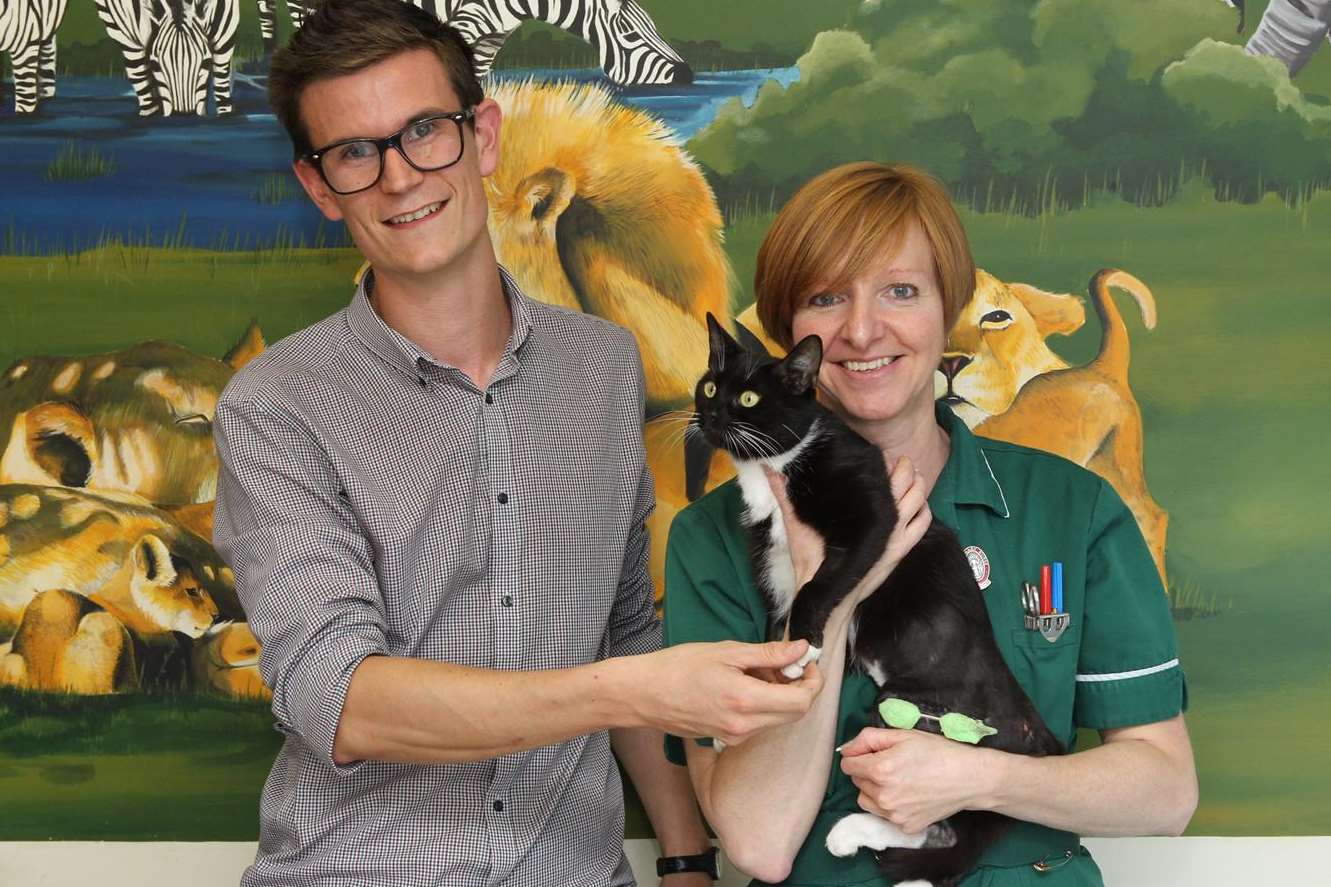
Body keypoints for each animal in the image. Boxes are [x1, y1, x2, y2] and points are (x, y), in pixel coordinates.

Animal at [96, 0, 242, 115]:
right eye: (155, 65)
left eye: (206, 63)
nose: (184, 116)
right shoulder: (129, 38)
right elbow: (141, 81)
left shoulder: (225, 30)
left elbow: (221, 84)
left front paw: (225, 114)